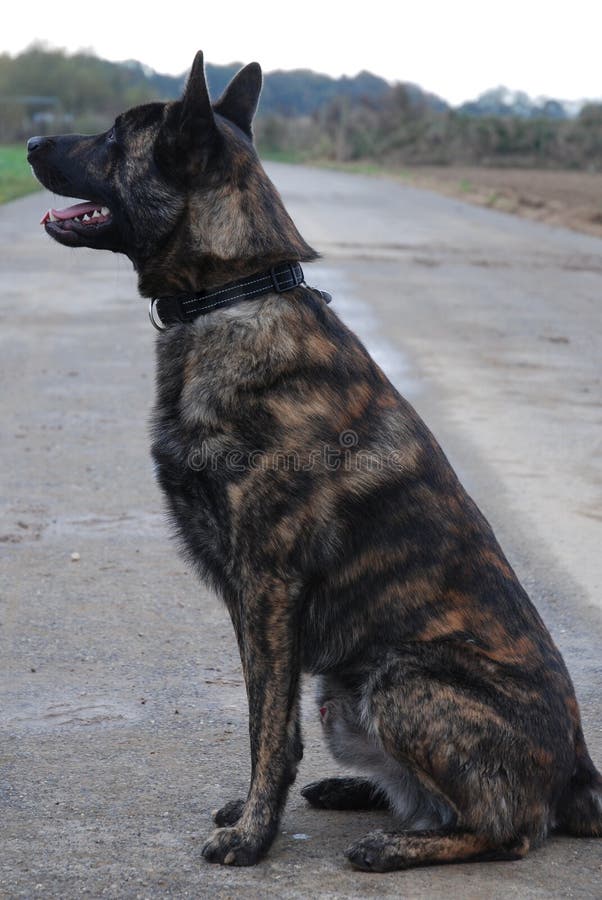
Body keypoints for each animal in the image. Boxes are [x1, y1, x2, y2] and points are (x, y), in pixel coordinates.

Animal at [29, 51, 600, 872]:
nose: (30, 142)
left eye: (113, 137)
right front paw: (251, 810)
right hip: (343, 692)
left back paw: (395, 844)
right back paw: (358, 792)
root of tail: (580, 772)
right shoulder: (248, 599)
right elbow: (260, 719)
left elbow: (270, 726)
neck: (236, 291)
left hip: (398, 679)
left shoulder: (268, 586)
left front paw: (252, 834)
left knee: (509, 828)